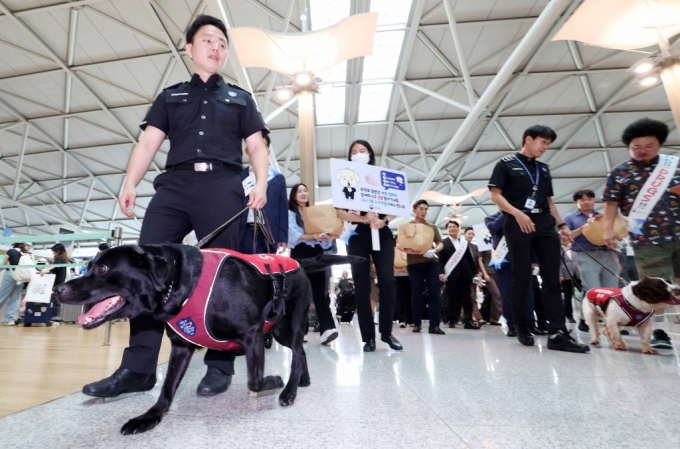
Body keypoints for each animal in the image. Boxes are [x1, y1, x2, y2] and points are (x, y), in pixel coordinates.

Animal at [55, 245, 354, 434]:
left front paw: (274, 381)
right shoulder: (181, 348)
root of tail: (299, 263)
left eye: (102, 268)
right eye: (89, 265)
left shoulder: (252, 335)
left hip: (290, 323)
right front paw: (149, 418)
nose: (58, 289)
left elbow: (255, 382)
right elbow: (166, 390)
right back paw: (303, 380)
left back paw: (289, 390)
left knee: (296, 351)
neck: (178, 281)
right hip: (279, 328)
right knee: (299, 352)